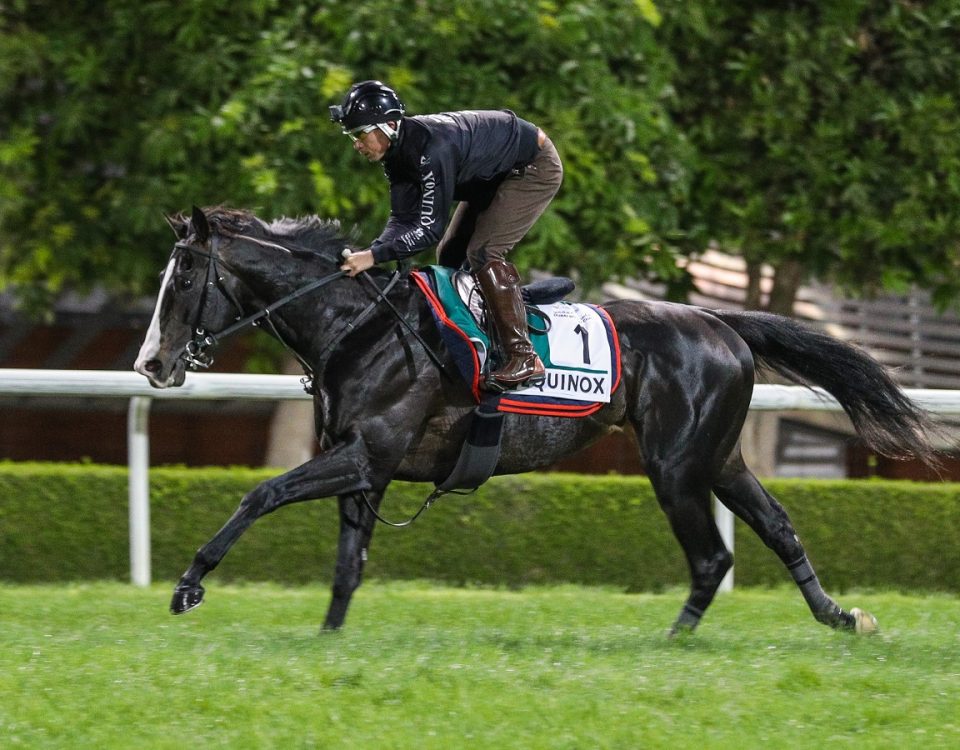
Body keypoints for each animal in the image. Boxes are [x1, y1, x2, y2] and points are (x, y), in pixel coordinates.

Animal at [135, 207, 936, 640]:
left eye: (184, 277)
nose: (152, 364)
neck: (358, 326)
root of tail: (720, 322)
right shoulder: (368, 468)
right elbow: (347, 566)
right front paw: (329, 638)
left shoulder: (367, 455)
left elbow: (260, 494)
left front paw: (188, 585)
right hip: (721, 458)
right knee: (776, 527)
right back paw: (839, 617)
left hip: (677, 465)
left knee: (712, 556)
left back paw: (672, 640)